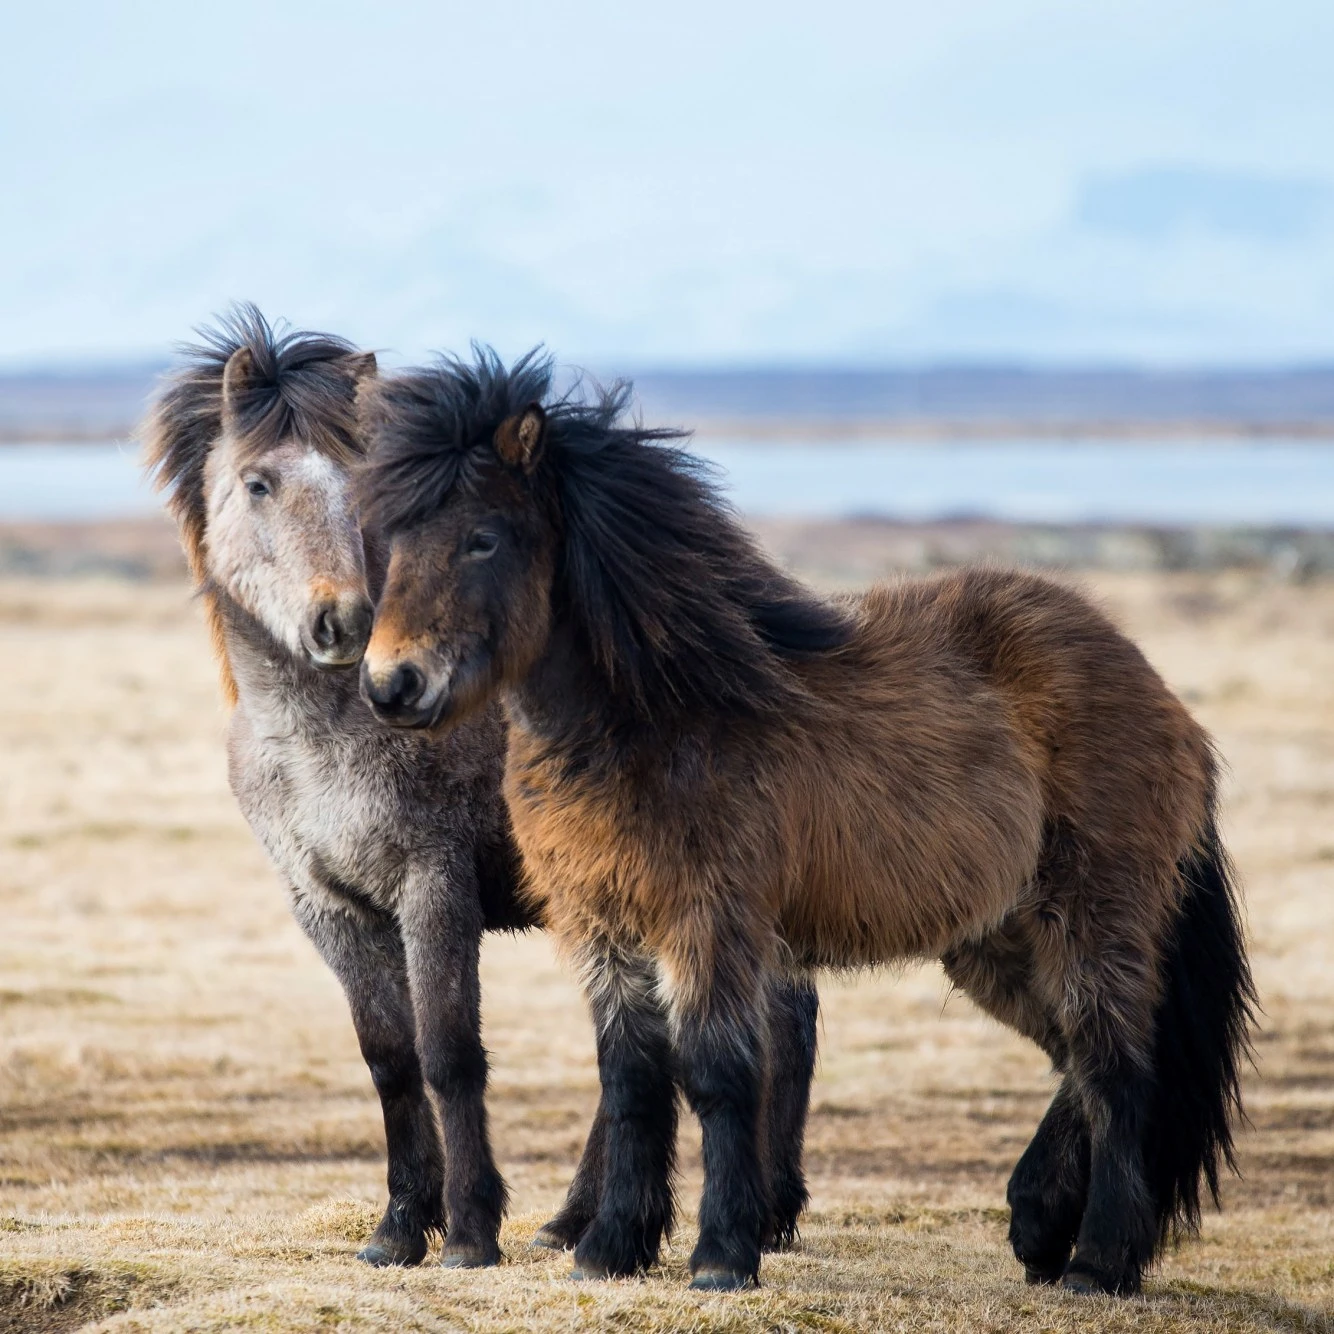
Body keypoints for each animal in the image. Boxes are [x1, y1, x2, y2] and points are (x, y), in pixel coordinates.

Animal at [142, 307, 822, 1269]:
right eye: (258, 483)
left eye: (365, 488)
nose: (344, 621)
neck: (322, 735)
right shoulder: (325, 905)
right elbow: (388, 1056)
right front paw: (398, 1227)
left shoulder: (434, 885)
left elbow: (449, 1052)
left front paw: (467, 1230)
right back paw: (580, 1221)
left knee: (774, 1019)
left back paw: (757, 1213)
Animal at [355, 346, 1256, 1297]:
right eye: (394, 540)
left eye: (483, 537)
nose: (391, 686)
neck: (659, 714)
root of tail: (1163, 698)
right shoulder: (603, 927)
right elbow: (630, 1080)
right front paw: (611, 1250)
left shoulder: (709, 922)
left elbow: (716, 1075)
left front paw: (721, 1257)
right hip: (996, 938)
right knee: (1077, 1061)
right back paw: (1039, 1224)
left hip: (1092, 918)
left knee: (1121, 1071)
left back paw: (1097, 1261)